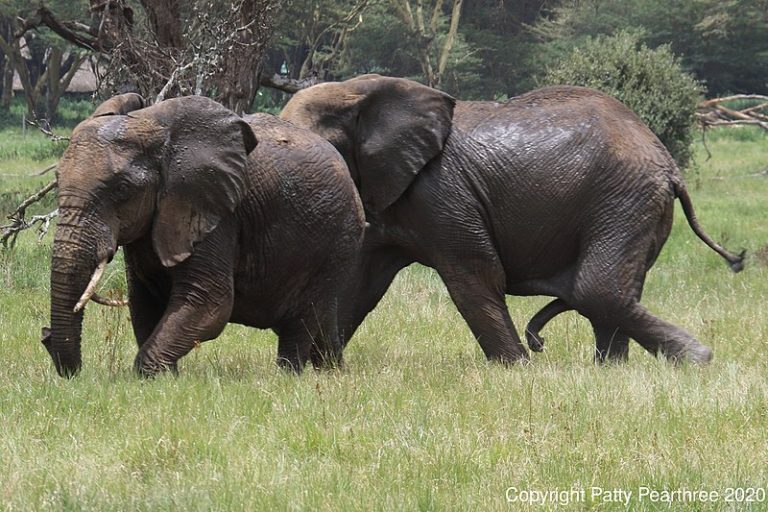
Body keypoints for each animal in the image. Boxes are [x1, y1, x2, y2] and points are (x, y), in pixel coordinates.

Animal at [42, 94, 366, 378]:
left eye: (122, 189)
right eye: (57, 181)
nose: (45, 336)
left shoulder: (216, 214)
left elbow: (211, 302)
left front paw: (149, 378)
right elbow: (143, 302)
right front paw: (168, 379)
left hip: (338, 240)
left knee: (300, 321)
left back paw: (289, 376)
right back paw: (332, 372)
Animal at [282, 74, 744, 366]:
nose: (537, 347)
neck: (357, 92)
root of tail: (667, 162)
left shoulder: (440, 190)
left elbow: (474, 274)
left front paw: (516, 370)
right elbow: (361, 281)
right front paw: (321, 369)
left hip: (624, 198)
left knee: (598, 289)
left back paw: (696, 361)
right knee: (612, 292)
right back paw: (612, 370)